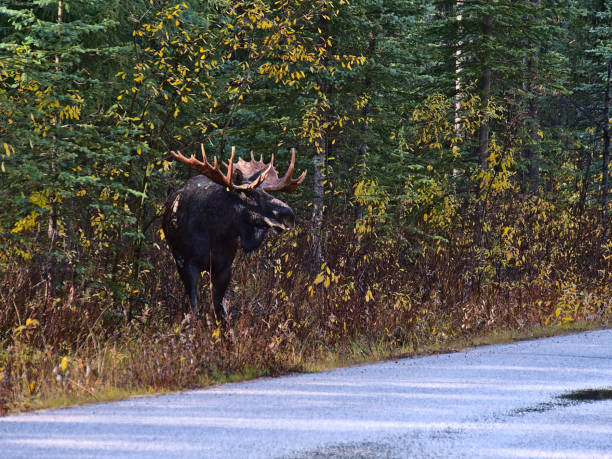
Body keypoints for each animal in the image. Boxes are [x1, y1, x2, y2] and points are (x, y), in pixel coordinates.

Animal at [163, 146, 306, 324]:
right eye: (249, 194)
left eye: (265, 191)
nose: (289, 215)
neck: (214, 232)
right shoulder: (185, 263)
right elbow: (193, 308)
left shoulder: (225, 267)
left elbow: (217, 309)